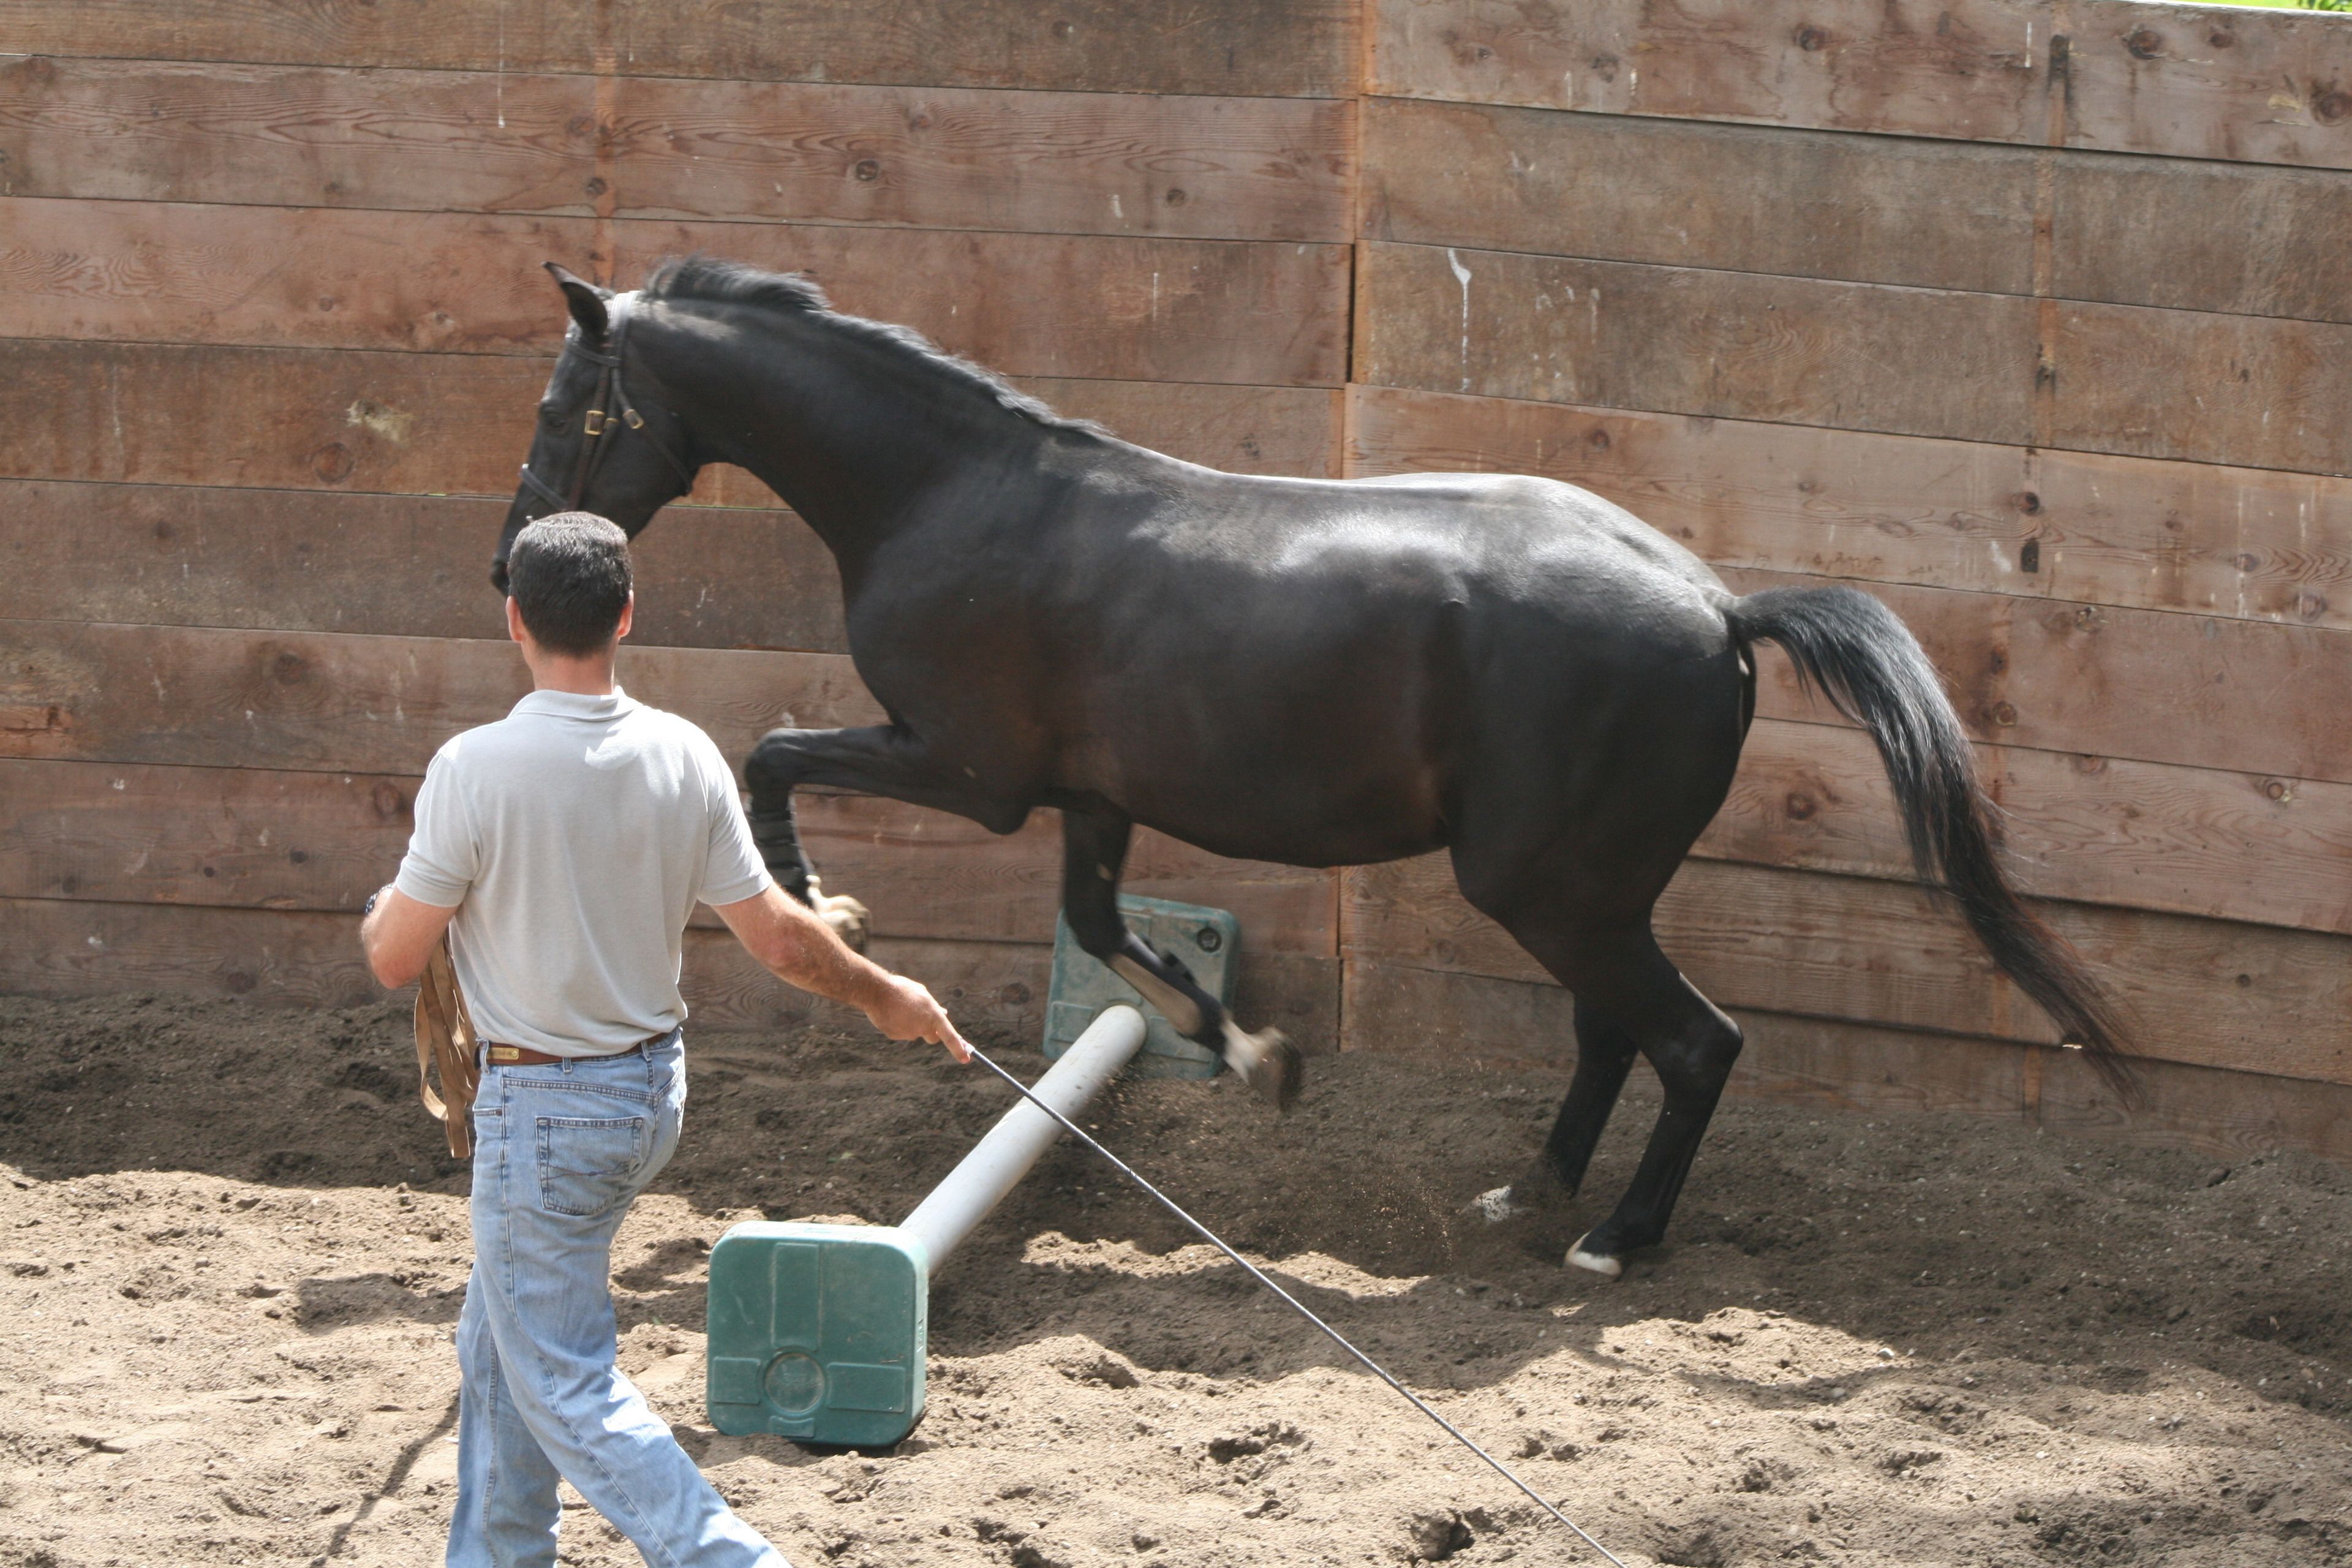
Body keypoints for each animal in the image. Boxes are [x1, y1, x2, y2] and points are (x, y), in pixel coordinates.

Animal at [493, 257, 2132, 1279]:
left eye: (567, 406)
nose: (515, 560)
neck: (948, 495)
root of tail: (1722, 610)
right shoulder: (1090, 803)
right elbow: (1107, 933)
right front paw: (1250, 1053)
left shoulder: (971, 768)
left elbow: (770, 754)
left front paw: (822, 909)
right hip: (1582, 890)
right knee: (1616, 1032)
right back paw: (1530, 1191)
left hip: (1550, 887)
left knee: (1694, 1041)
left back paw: (1615, 1237)